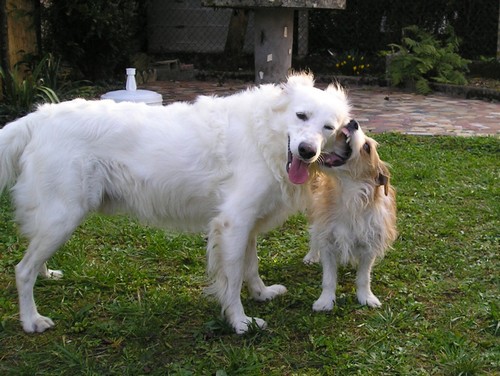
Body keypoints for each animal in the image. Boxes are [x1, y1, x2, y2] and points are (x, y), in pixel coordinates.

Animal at [0, 72, 352, 334]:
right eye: (301, 115)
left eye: (328, 128)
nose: (307, 151)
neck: (264, 134)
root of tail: (41, 116)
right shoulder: (233, 223)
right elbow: (233, 278)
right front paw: (240, 322)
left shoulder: (247, 224)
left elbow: (250, 266)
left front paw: (261, 294)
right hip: (63, 216)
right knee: (22, 270)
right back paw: (31, 320)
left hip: (56, 219)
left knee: (34, 256)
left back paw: (47, 274)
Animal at [302, 120, 396, 312]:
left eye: (367, 147)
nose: (353, 122)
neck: (348, 197)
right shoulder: (328, 242)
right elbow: (329, 279)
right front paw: (325, 301)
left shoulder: (369, 245)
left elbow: (364, 277)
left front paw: (366, 297)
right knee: (314, 235)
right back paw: (312, 255)